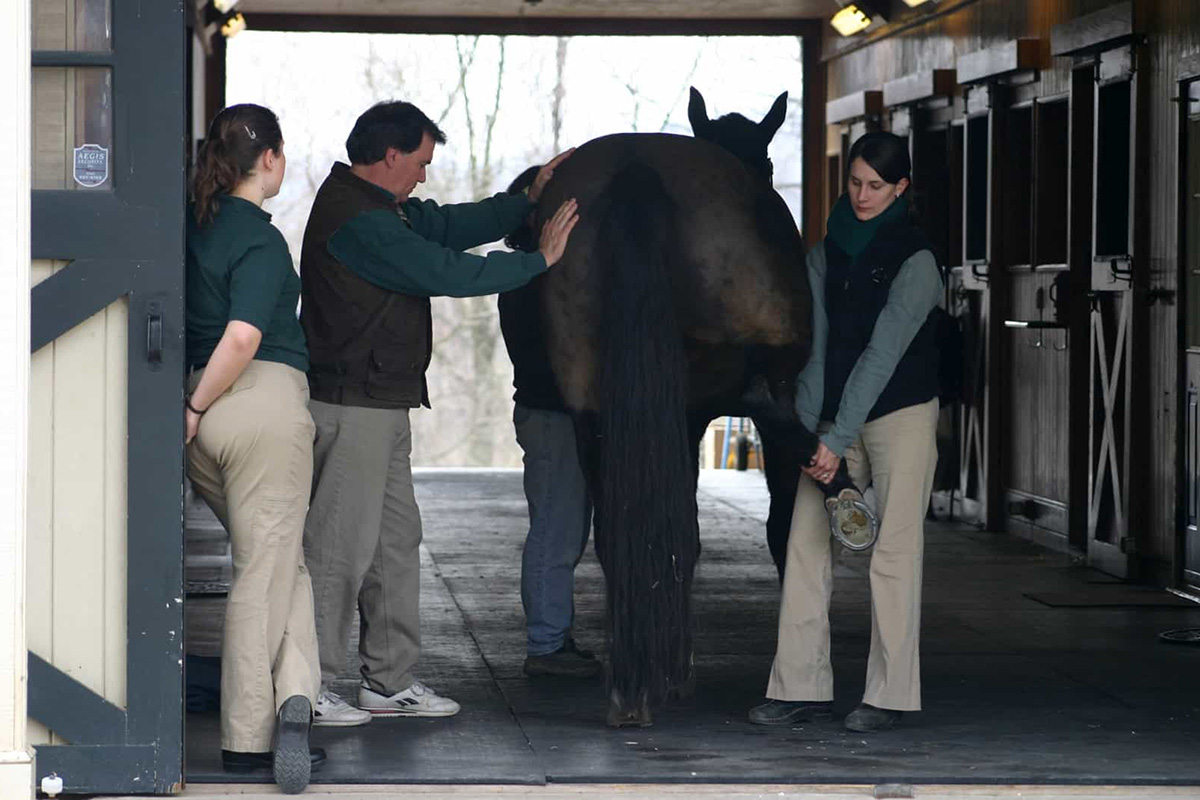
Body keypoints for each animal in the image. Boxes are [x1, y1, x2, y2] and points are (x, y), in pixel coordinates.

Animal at [504, 90, 873, 729]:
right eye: (770, 164)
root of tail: (636, 169)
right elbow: (779, 527)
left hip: (596, 413)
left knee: (618, 533)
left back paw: (634, 688)